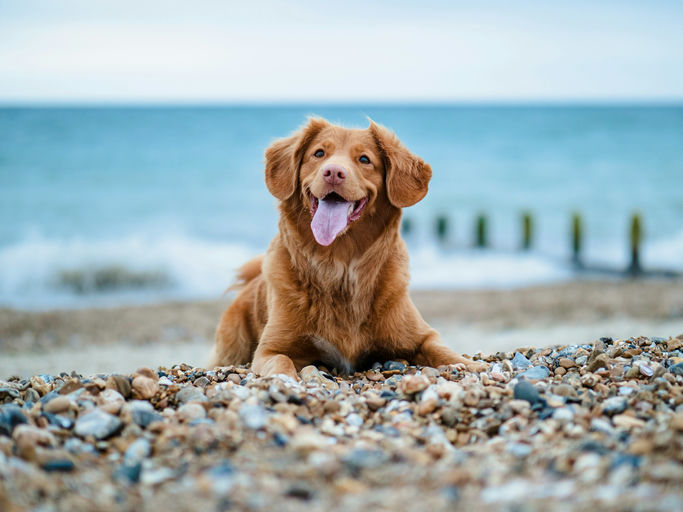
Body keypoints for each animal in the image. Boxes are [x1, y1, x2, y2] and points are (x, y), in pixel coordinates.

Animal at [212, 118, 486, 378]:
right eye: (319, 153)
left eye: (364, 159)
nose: (333, 172)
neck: (339, 265)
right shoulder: (269, 349)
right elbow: (281, 361)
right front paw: (285, 380)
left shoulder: (422, 335)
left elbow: (443, 351)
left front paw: (471, 365)